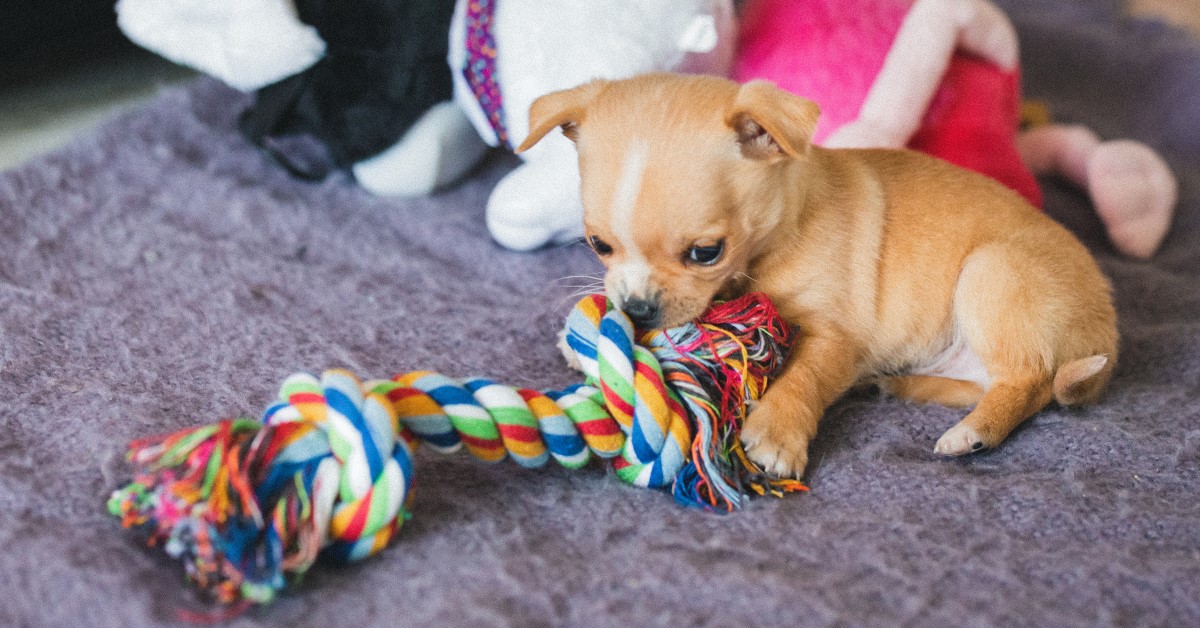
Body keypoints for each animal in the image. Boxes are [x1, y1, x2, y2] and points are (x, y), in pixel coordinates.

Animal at [520, 72, 1118, 477]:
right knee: (997, 381)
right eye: (599, 245)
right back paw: (899, 384)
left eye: (706, 253)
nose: (638, 310)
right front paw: (585, 341)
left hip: (990, 273)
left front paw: (776, 435)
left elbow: (803, 376)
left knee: (1028, 381)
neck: (777, 236)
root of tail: (1107, 332)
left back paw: (972, 433)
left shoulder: (837, 337)